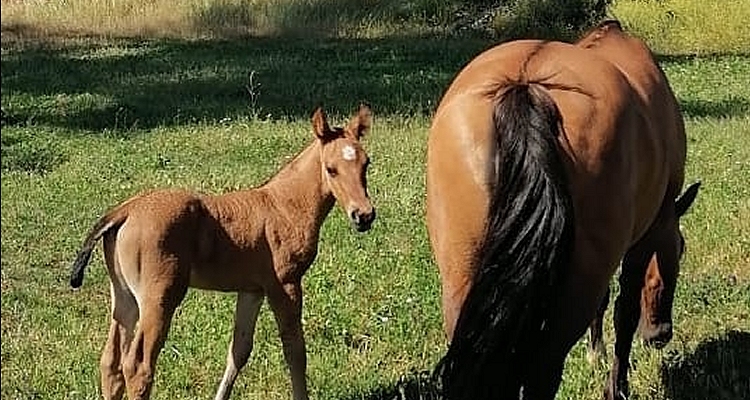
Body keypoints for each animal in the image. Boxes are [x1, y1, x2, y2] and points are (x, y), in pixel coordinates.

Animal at [70, 104, 376, 400]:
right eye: (331, 169)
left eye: (366, 163)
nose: (364, 215)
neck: (285, 206)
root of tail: (126, 210)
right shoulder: (285, 284)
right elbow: (295, 351)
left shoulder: (253, 289)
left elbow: (239, 351)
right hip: (159, 296)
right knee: (138, 365)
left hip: (123, 296)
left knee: (110, 362)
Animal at [432, 21, 704, 400]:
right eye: (682, 248)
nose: (660, 334)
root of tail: (526, 87)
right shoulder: (646, 235)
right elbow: (624, 311)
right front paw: (616, 385)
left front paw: (596, 354)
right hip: (575, 290)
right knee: (542, 372)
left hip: (463, 280)